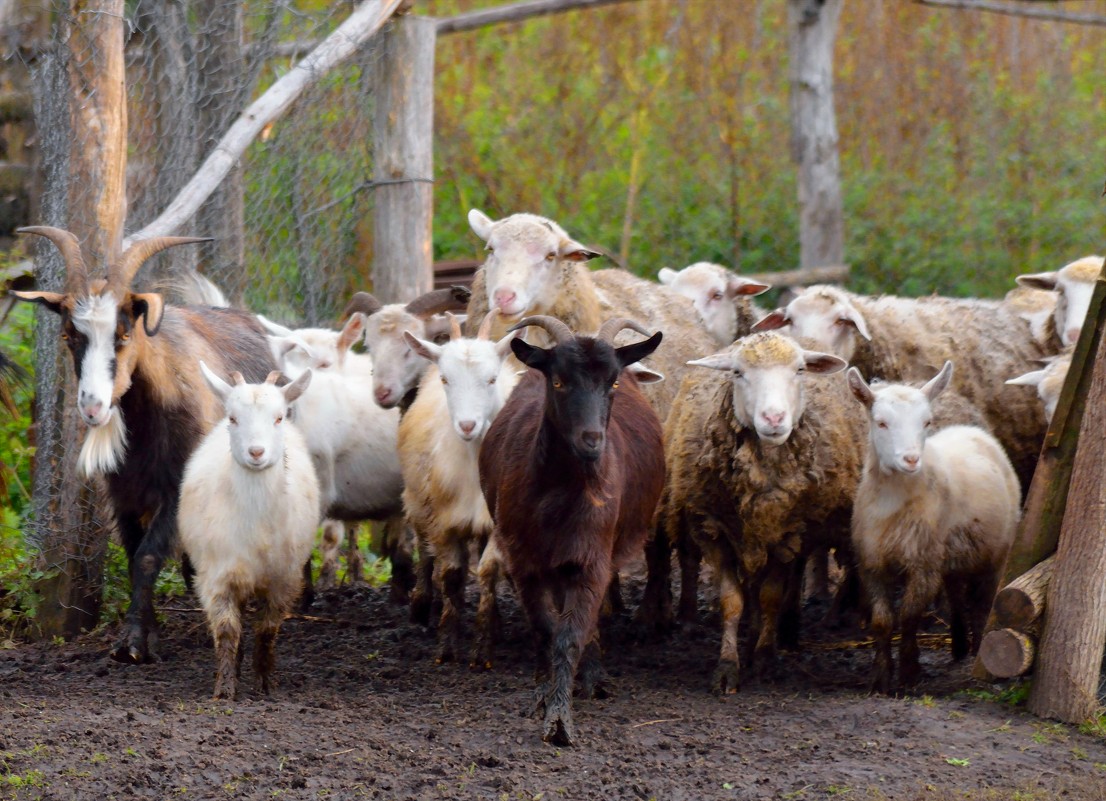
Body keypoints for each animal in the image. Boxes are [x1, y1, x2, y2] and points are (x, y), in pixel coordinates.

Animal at [176, 365, 322, 699]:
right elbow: (228, 631)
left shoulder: (283, 579)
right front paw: (225, 687)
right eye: (233, 418)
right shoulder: (218, 576)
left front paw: (265, 682)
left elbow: (267, 630)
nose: (256, 452)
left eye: (279, 417)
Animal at [477, 311, 663, 743]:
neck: (559, 496)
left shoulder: (592, 557)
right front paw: (543, 696)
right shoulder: (523, 559)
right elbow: (546, 630)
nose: (592, 440)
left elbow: (570, 634)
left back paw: (593, 678)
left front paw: (560, 719)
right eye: (559, 381)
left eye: (613, 383)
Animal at [844, 362, 1017, 694]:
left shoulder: (923, 564)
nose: (911, 459)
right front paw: (880, 679)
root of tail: (971, 430)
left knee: (982, 603)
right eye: (881, 423)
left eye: (926, 422)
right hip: (952, 557)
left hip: (995, 554)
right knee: (957, 597)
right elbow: (882, 621)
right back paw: (959, 646)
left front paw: (909, 673)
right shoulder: (871, 563)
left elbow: (909, 616)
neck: (894, 499)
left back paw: (976, 648)